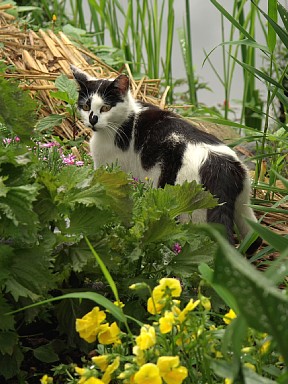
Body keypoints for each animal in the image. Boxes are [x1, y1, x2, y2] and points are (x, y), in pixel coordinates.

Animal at [71, 65, 262, 255]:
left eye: (105, 108)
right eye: (86, 106)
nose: (92, 120)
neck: (125, 120)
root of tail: (219, 164)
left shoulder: (108, 168)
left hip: (195, 211)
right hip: (242, 203)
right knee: (255, 238)